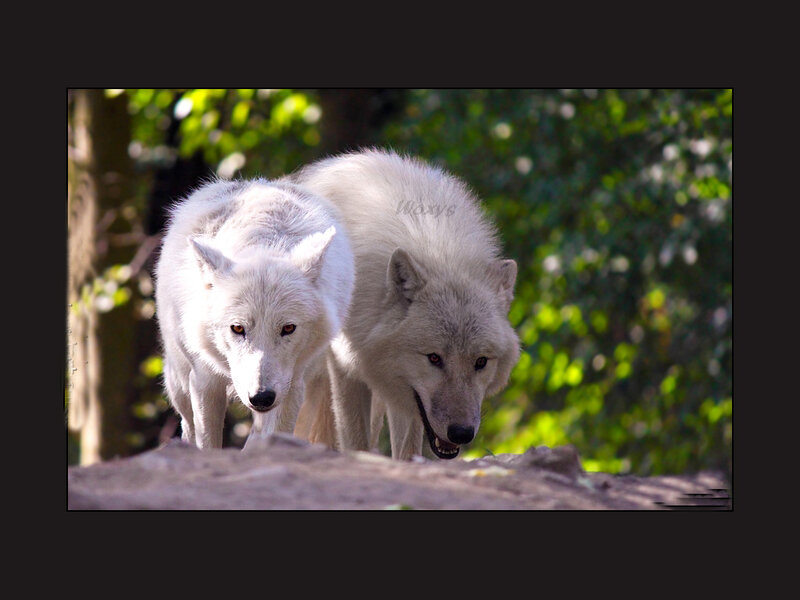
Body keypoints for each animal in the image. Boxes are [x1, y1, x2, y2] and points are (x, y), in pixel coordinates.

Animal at [154, 178, 354, 449]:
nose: (261, 397)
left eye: (288, 328)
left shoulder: (291, 385)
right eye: (238, 328)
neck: (264, 242)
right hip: (179, 382)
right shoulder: (205, 382)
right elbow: (207, 442)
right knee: (187, 424)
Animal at [290, 149, 520, 460]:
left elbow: (407, 450)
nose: (461, 433)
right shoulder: (344, 367)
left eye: (481, 362)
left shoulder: (408, 399)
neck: (437, 251)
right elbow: (355, 440)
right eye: (434, 358)